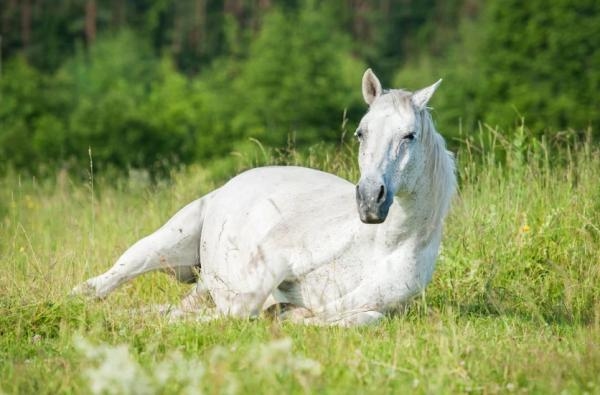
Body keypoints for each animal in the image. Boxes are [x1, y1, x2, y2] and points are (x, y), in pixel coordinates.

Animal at [76, 69, 460, 326]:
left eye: (409, 135)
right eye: (361, 133)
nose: (369, 200)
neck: (381, 244)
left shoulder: (370, 308)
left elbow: (350, 317)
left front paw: (286, 315)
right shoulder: (273, 258)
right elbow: (241, 307)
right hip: (164, 243)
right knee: (108, 281)